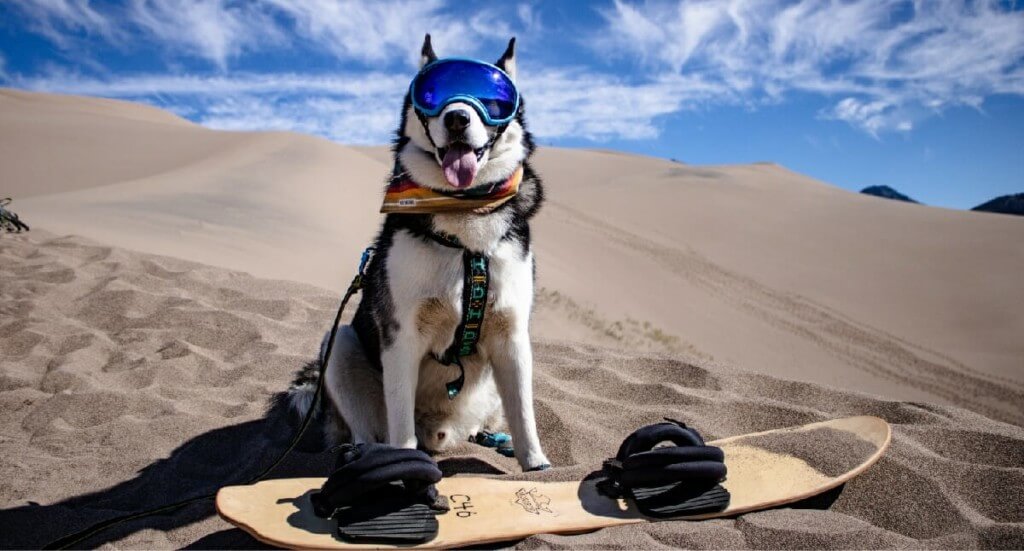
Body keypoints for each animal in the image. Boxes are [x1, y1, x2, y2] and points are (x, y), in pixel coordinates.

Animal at [280, 36, 548, 469]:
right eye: (430, 94)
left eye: (493, 98)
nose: (457, 118)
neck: (464, 225)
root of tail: (438, 429)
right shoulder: (401, 334)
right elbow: (401, 427)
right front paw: (404, 467)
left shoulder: (512, 335)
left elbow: (524, 412)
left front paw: (535, 465)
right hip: (339, 346)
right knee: (370, 429)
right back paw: (361, 452)